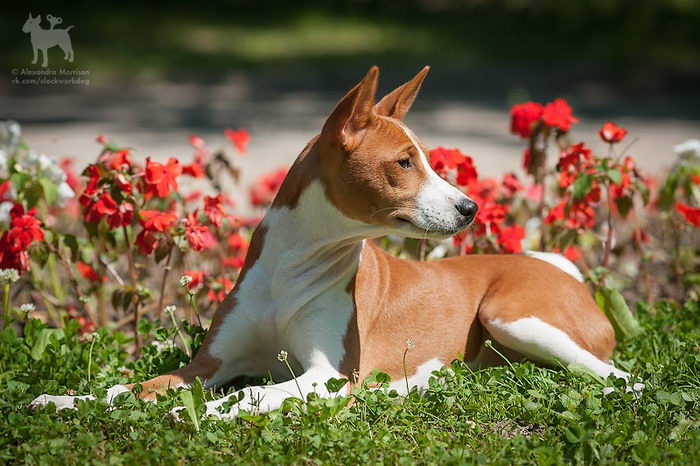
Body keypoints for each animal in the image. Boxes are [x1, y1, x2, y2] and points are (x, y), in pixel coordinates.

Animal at [30, 65, 636, 418]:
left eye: (426, 159)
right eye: (405, 162)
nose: (470, 208)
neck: (289, 272)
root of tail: (561, 268)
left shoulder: (329, 374)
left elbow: (254, 392)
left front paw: (212, 412)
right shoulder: (207, 365)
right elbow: (134, 387)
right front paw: (67, 398)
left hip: (513, 317)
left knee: (620, 378)